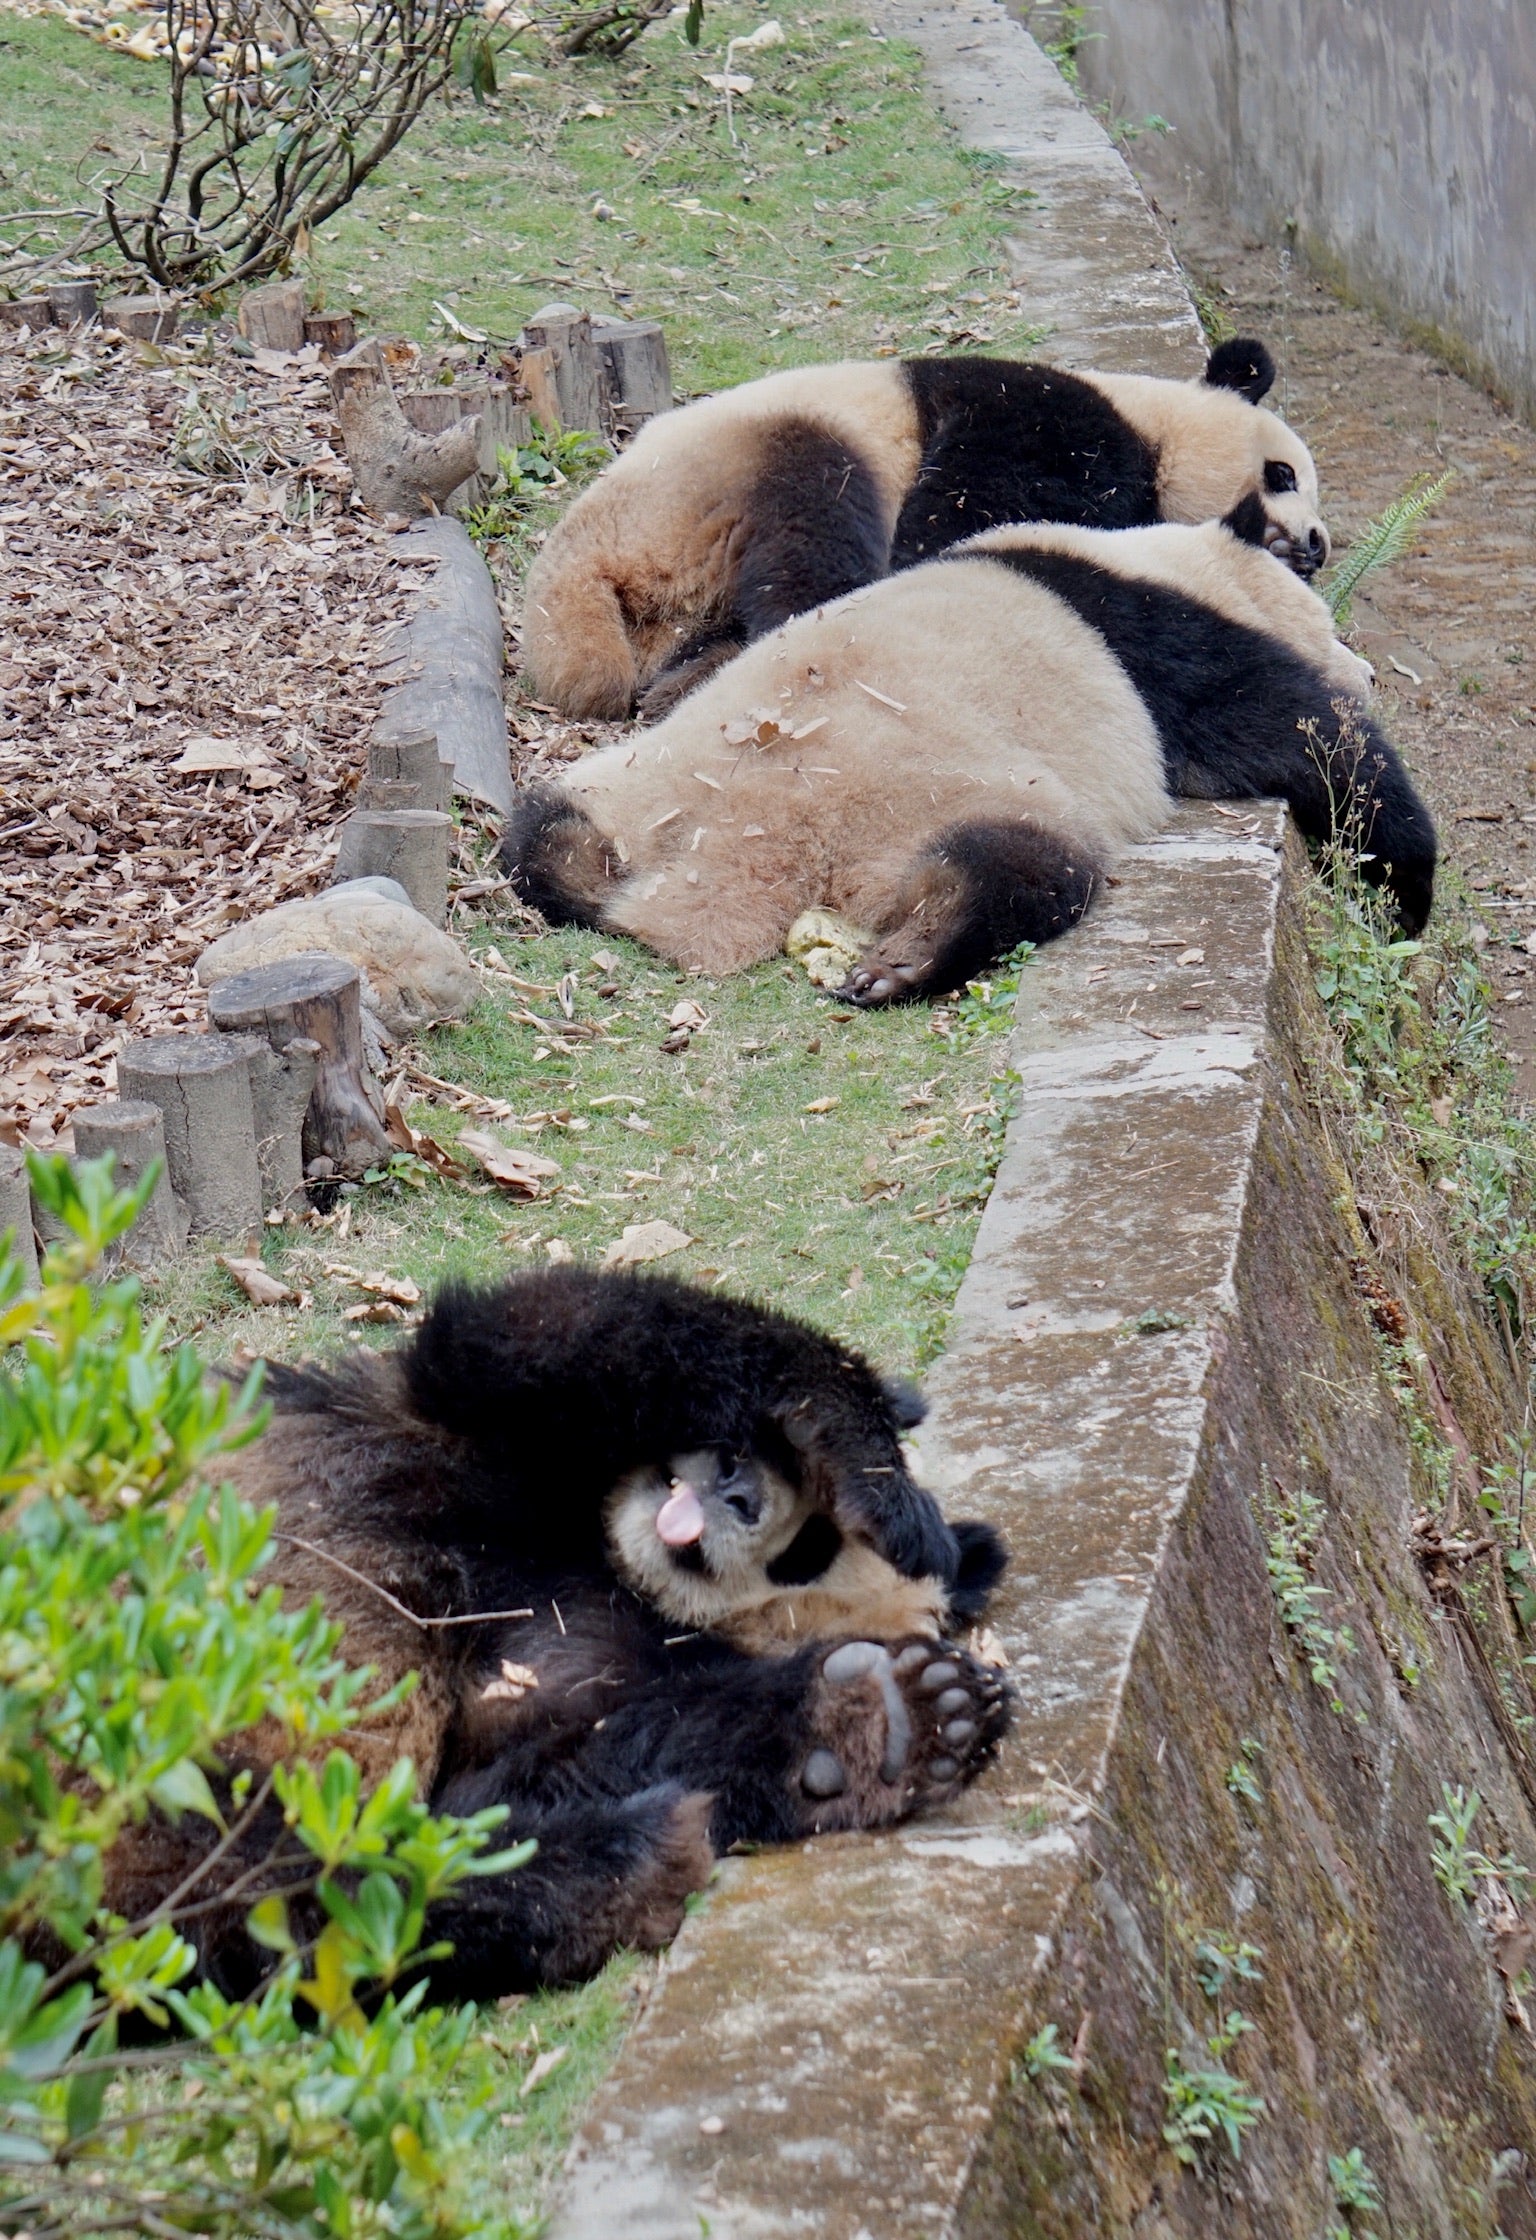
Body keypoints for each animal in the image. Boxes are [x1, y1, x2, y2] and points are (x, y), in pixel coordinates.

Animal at [96, 1281, 1012, 1998]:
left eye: (801, 1556)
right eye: (813, 1535)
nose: (737, 1487)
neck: (603, 1547)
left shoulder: (616, 1668)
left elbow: (570, 1760)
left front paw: (886, 1721)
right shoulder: (473, 1422)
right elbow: (565, 1335)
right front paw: (881, 1477)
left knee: (275, 1899)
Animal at [499, 508, 1441, 1008]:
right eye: (1330, 626)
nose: (1367, 670)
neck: (1161, 558)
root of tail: (729, 864)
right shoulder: (1156, 638)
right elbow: (1296, 733)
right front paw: (1399, 895)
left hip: (632, 784)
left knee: (541, 833)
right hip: (943, 797)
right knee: (1025, 865)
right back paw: (908, 957)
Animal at [519, 336, 1334, 716]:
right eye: (1283, 475)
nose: (1318, 546)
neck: (1155, 420)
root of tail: (577, 557)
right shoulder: (1045, 416)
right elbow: (969, 507)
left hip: (676, 582)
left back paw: (683, 678)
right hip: (747, 460)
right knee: (814, 534)